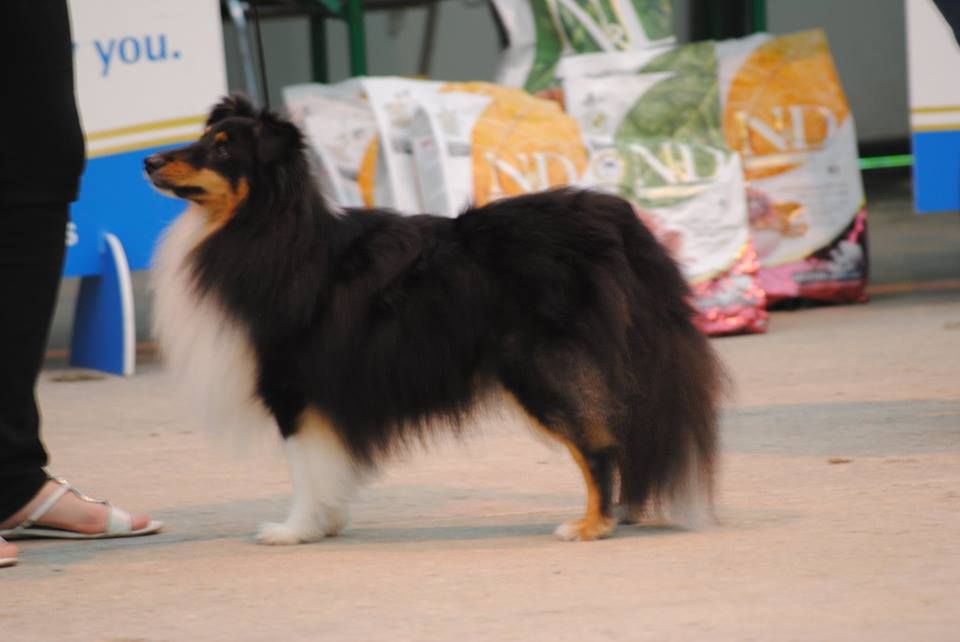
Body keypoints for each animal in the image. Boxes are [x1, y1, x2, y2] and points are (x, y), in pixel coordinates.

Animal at [146, 95, 724, 544]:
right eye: (205, 136)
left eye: (223, 147)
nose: (148, 161)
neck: (266, 226)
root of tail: (614, 217)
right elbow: (324, 467)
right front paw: (325, 523)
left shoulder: (291, 387)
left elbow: (304, 468)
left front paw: (295, 530)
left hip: (539, 366)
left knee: (598, 443)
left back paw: (591, 525)